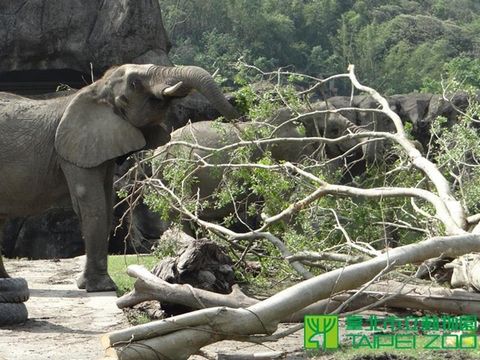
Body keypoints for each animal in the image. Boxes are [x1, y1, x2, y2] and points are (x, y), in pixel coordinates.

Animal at [0, 63, 239, 292]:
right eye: (134, 83)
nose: (236, 118)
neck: (96, 89)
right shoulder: (75, 151)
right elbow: (92, 204)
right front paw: (101, 288)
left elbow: (106, 204)